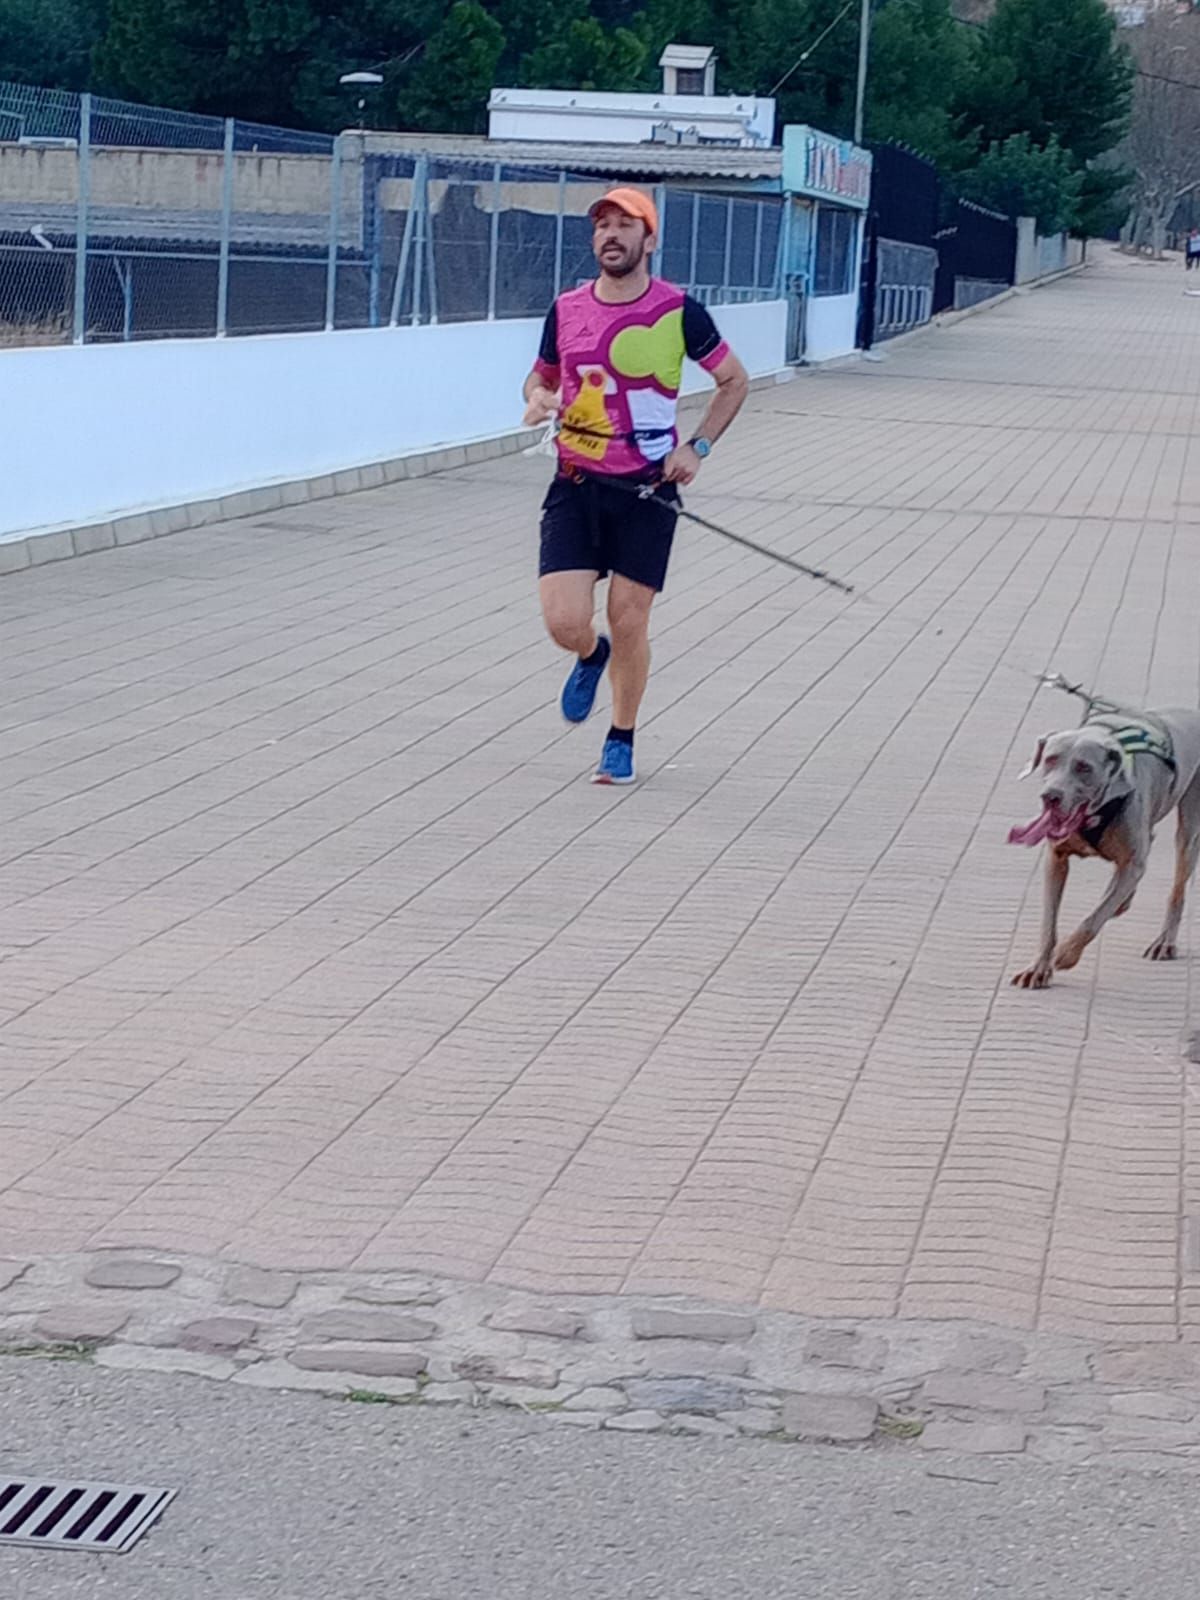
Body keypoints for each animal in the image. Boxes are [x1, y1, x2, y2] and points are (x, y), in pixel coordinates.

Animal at [1011, 688, 1200, 985]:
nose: (1050, 796)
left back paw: (1164, 942)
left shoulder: (1132, 863)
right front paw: (1038, 968)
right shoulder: (1056, 859)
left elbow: (1096, 916)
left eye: (1084, 767)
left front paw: (1067, 953)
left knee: (1177, 888)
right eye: (1050, 760)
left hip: (1188, 829)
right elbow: (1048, 921)